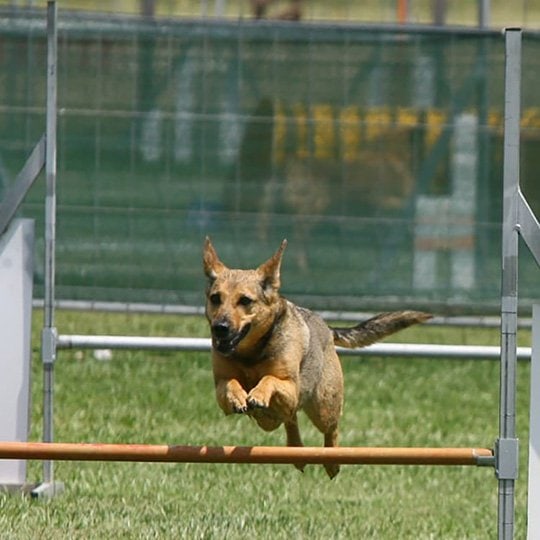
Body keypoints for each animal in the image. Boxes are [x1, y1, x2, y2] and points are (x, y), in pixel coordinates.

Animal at [202, 236, 430, 476]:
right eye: (215, 298)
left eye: (245, 300)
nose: (220, 328)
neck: (251, 353)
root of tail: (327, 328)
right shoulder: (222, 386)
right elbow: (230, 383)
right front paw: (238, 397)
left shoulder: (290, 387)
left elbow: (270, 379)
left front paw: (258, 394)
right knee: (290, 419)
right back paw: (297, 451)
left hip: (323, 406)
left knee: (331, 428)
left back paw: (332, 461)